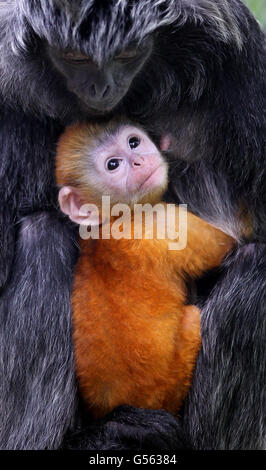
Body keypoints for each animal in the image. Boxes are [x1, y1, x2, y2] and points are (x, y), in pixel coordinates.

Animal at [55, 120, 233, 418]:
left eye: (133, 143)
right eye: (113, 165)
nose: (138, 160)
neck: (113, 219)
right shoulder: (163, 220)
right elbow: (228, 244)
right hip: (172, 386)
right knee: (191, 317)